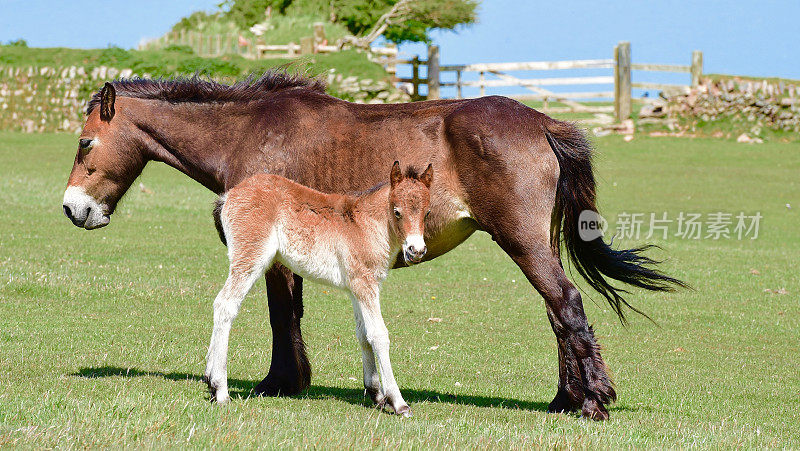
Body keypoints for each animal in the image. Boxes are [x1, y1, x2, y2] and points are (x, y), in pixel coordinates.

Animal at [62, 70, 684, 420]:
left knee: (567, 305)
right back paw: (565, 400)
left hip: (523, 242)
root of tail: (541, 123)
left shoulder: (274, 257)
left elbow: (281, 314)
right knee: (558, 311)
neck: (251, 133)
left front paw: (279, 383)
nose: (73, 209)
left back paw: (592, 402)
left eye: (85, 142)